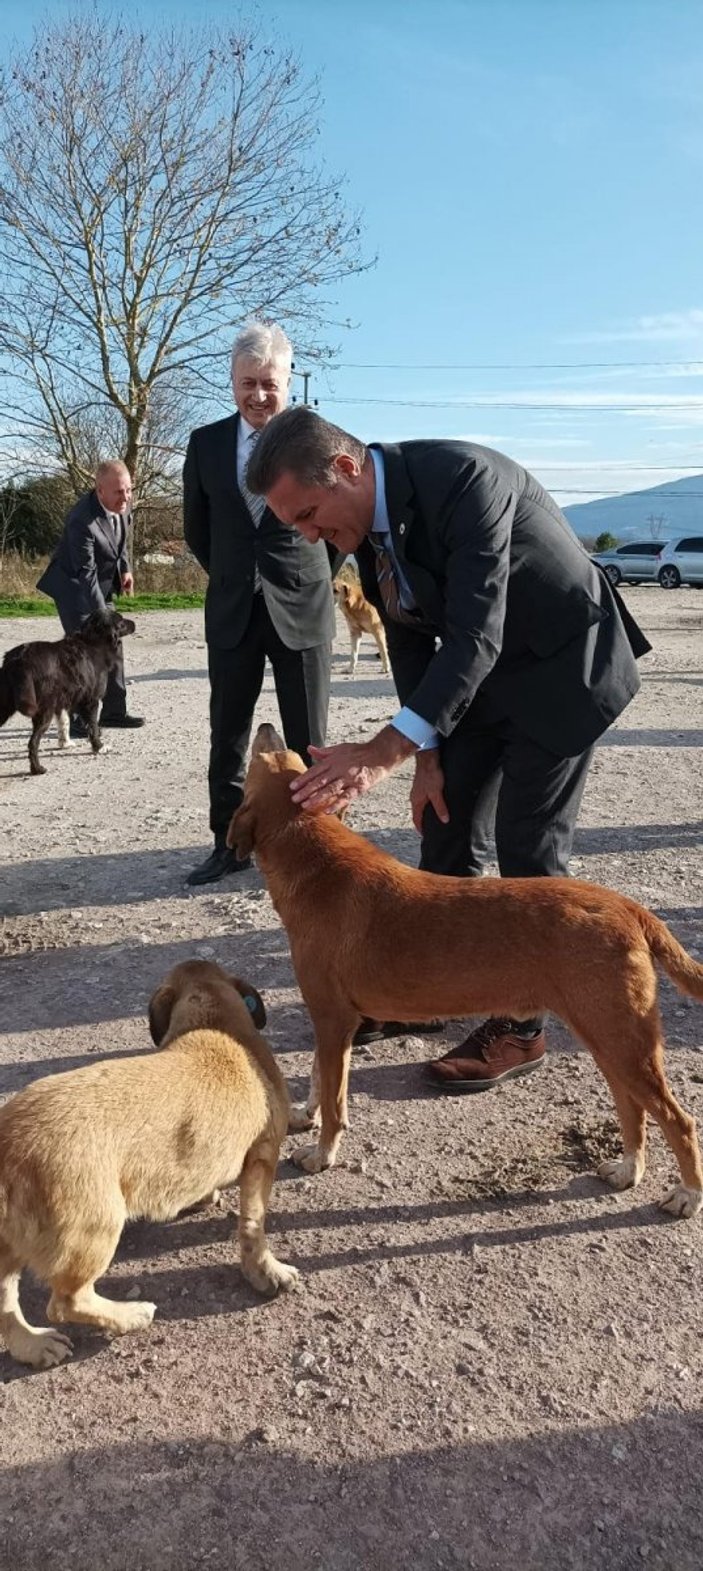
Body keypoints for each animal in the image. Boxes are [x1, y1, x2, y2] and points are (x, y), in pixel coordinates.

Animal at [0, 606, 136, 772]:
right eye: (121, 620)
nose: (134, 623)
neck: (94, 641)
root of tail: (18, 659)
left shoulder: (64, 699)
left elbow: (64, 721)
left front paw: (65, 743)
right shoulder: (91, 700)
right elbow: (93, 726)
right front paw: (99, 747)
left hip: (7, 705)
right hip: (43, 711)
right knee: (33, 742)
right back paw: (37, 769)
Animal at [0, 948, 298, 1369]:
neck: (212, 1019)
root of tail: (9, 1144)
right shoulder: (262, 1159)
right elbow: (253, 1226)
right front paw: (266, 1272)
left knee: (7, 1304)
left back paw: (33, 1345)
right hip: (97, 1228)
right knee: (65, 1302)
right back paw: (130, 1316)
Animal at [229, 728, 703, 1219]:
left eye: (262, 758)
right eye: (289, 758)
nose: (265, 726)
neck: (316, 859)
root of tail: (630, 908)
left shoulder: (333, 1018)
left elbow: (336, 1100)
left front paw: (323, 1154)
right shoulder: (330, 1021)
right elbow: (319, 1079)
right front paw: (306, 1115)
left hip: (622, 1040)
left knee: (679, 1120)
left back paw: (688, 1192)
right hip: (608, 1039)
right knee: (634, 1111)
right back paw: (629, 1169)